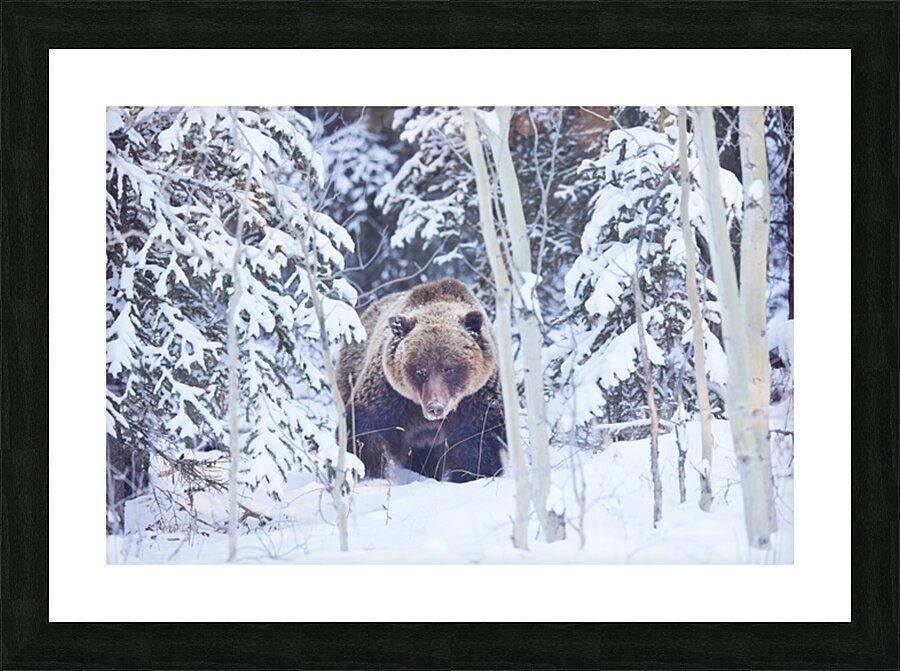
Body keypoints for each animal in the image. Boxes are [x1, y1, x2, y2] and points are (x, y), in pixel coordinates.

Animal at [335, 278, 505, 483]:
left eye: (449, 369)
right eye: (420, 371)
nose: (435, 407)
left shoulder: (475, 399)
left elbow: (477, 444)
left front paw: (472, 476)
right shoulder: (390, 394)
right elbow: (364, 427)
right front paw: (372, 472)